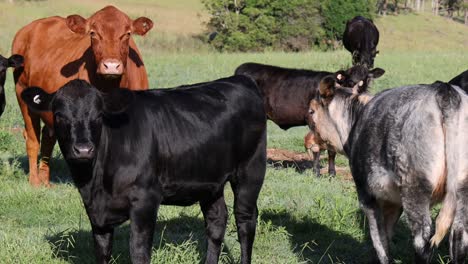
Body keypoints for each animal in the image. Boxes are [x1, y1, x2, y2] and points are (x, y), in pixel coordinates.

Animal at [12, 5, 154, 187]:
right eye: (93, 33)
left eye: (127, 33)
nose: (111, 66)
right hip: (22, 92)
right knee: (32, 138)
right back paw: (35, 181)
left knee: (48, 138)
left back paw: (45, 180)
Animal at [22, 77, 266, 264]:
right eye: (59, 115)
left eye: (98, 115)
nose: (83, 149)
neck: (95, 181)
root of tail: (239, 80)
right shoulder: (96, 212)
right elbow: (102, 251)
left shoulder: (145, 201)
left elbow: (139, 252)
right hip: (210, 182)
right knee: (216, 222)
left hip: (251, 171)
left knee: (245, 221)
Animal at [234, 62, 384, 176]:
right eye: (349, 78)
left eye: (365, 78)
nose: (356, 85)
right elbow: (318, 148)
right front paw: (316, 172)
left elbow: (331, 150)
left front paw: (332, 173)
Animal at [310, 79, 468, 264]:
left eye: (311, 111)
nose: (310, 142)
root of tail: (444, 90)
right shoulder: (393, 201)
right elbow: (386, 232)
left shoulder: (367, 195)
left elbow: (379, 239)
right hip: (461, 188)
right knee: (459, 236)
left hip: (414, 188)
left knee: (422, 239)